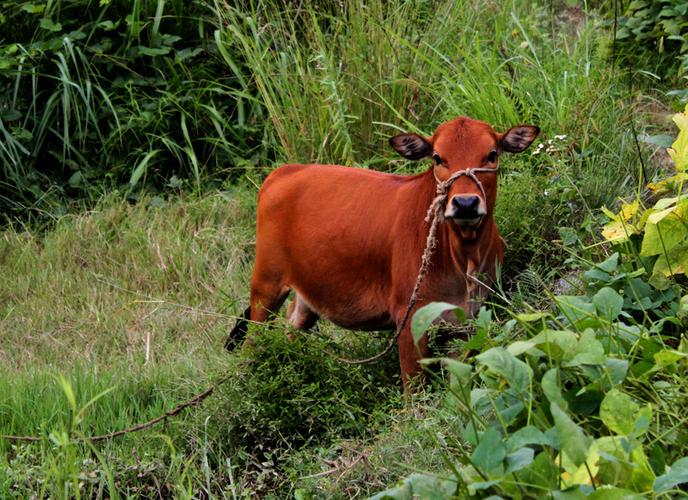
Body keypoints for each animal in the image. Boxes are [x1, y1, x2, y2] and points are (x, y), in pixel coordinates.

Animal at [228, 116, 540, 386]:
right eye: (438, 158)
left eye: (491, 154)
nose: (465, 204)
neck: (463, 257)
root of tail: (285, 171)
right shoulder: (409, 316)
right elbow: (413, 390)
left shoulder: (467, 319)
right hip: (265, 287)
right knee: (252, 341)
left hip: (307, 294)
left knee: (292, 325)